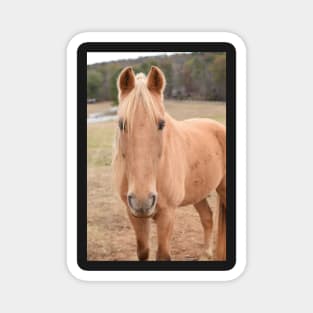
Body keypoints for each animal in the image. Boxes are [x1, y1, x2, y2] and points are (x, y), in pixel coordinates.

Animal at [112, 65, 224, 258]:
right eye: (121, 124)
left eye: (161, 124)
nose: (143, 200)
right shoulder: (134, 213)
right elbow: (143, 252)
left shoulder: (167, 214)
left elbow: (163, 254)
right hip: (198, 193)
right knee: (207, 217)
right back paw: (206, 254)